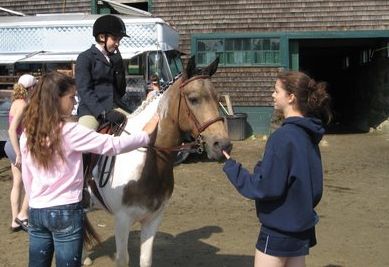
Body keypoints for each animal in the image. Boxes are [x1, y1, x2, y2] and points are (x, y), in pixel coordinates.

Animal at [88, 57, 230, 267]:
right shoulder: (122, 220)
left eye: (217, 97)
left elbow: (146, 259)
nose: (223, 145)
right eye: (193, 98)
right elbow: (123, 259)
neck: (148, 161)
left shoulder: (153, 219)